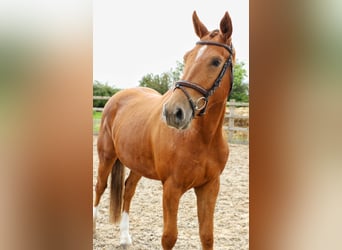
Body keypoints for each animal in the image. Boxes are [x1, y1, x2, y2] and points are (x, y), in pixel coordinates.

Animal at [93, 10, 235, 250]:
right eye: (187, 57)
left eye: (216, 61)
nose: (173, 112)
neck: (201, 138)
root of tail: (118, 97)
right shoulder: (171, 188)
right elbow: (169, 237)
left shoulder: (210, 187)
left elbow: (207, 236)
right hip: (107, 156)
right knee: (99, 187)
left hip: (137, 163)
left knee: (128, 190)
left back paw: (125, 238)